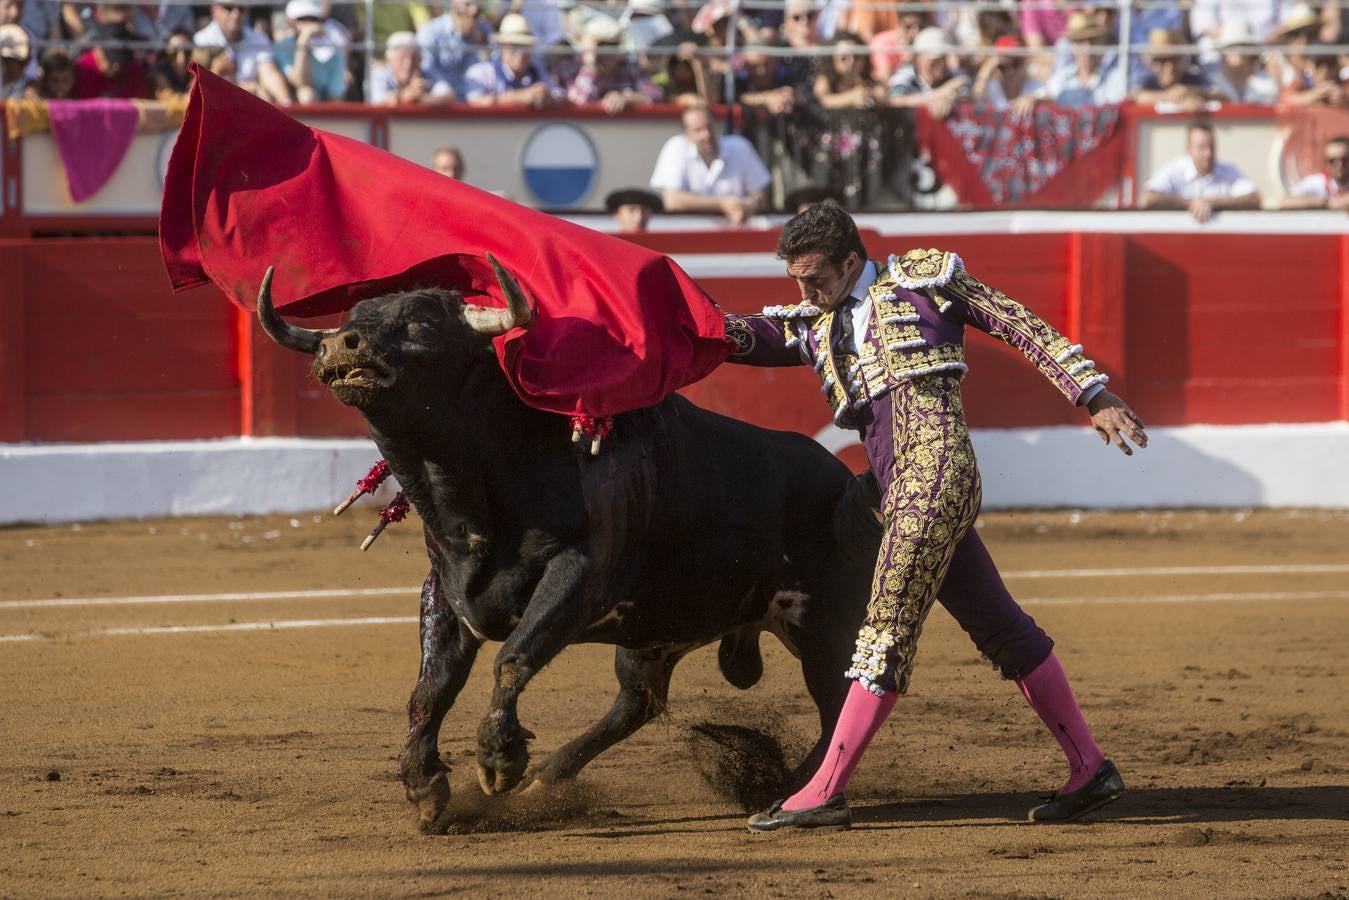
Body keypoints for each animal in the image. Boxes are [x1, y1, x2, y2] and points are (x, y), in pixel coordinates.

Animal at [254, 261, 874, 836]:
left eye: (423, 322)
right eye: (353, 318)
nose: (339, 343)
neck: (472, 501)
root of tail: (850, 483)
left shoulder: (579, 574)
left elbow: (512, 658)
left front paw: (498, 762)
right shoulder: (448, 591)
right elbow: (430, 689)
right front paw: (426, 786)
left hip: (827, 626)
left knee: (837, 702)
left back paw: (797, 792)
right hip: (655, 635)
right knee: (637, 703)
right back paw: (546, 779)